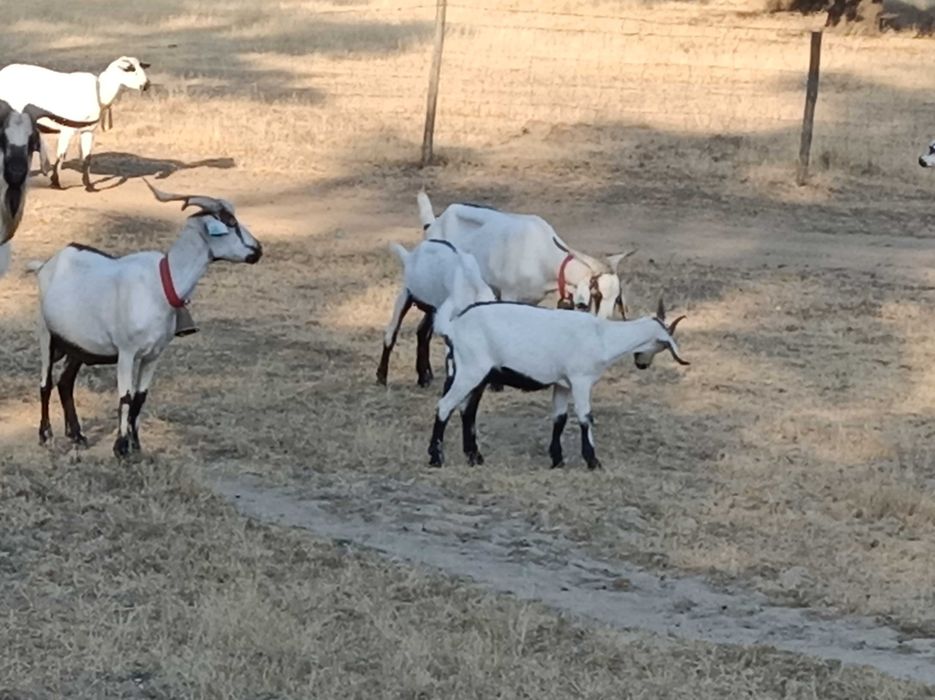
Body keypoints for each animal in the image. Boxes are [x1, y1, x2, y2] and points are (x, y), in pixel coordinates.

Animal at [0, 56, 151, 190]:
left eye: (141, 67)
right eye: (129, 69)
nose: (146, 85)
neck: (99, 92)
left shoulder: (88, 130)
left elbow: (87, 157)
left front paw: (89, 186)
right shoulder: (67, 129)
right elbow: (61, 155)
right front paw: (56, 183)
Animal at [30, 179, 262, 458]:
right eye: (230, 222)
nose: (258, 250)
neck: (162, 283)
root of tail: (47, 264)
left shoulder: (154, 355)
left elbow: (141, 397)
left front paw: (137, 445)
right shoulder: (127, 352)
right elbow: (125, 397)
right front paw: (121, 448)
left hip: (78, 344)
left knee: (65, 382)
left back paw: (77, 435)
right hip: (46, 333)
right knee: (45, 382)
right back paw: (46, 436)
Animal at [377, 238, 496, 387]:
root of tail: (410, 256)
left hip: (431, 308)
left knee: (422, 333)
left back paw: (423, 377)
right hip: (407, 294)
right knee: (392, 333)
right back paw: (382, 377)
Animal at [427, 277, 689, 470]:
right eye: (661, 345)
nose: (642, 364)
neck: (602, 336)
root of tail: (452, 327)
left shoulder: (562, 384)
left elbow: (559, 418)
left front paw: (558, 460)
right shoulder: (581, 380)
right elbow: (585, 417)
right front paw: (593, 461)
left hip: (476, 375)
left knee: (467, 411)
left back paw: (474, 458)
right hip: (470, 371)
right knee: (445, 405)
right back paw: (436, 458)